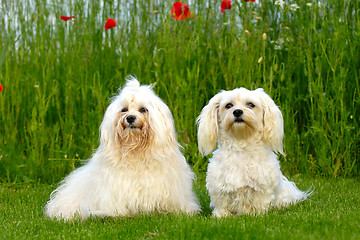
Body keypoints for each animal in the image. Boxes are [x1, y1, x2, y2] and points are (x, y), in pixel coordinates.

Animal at [195, 87, 310, 217]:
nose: (237, 112)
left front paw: (255, 214)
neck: (241, 145)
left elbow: (259, 204)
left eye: (251, 105)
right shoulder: (220, 187)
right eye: (228, 105)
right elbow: (222, 204)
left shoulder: (262, 188)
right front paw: (221, 216)